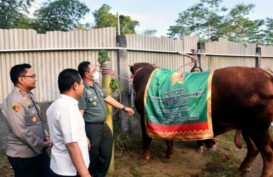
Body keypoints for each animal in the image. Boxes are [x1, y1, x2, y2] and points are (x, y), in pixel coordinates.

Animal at [129, 62, 272, 177]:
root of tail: (267, 74)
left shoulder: (144, 117)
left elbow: (146, 138)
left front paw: (144, 157)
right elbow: (168, 138)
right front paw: (169, 155)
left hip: (257, 128)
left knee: (268, 152)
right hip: (248, 127)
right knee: (253, 148)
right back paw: (242, 169)